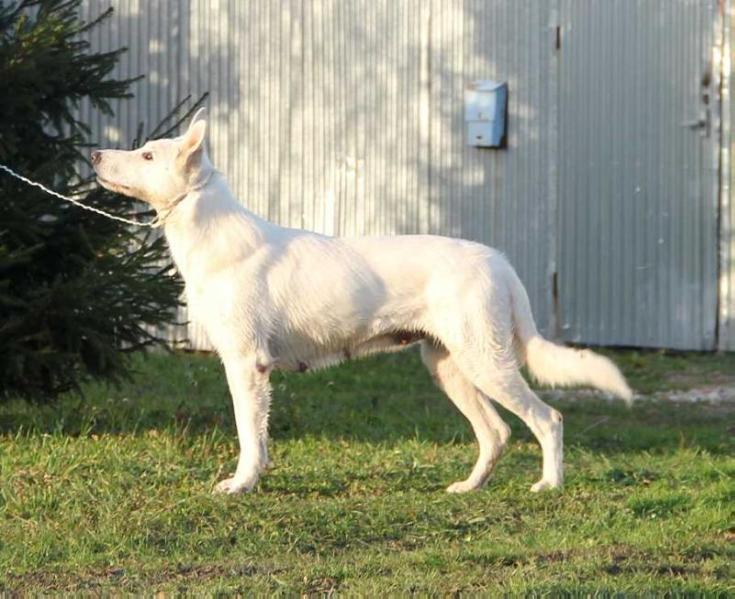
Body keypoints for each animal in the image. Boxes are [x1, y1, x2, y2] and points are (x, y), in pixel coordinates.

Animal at [92, 111, 632, 496]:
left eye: (147, 156)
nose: (95, 154)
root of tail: (498, 261)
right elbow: (257, 436)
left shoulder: (246, 365)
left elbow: (250, 434)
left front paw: (241, 485)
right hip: (450, 368)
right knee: (496, 433)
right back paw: (468, 488)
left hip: (487, 363)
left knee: (547, 419)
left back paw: (549, 486)